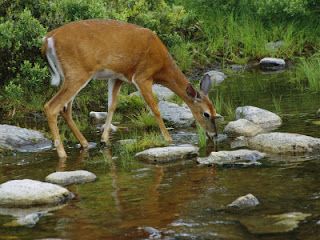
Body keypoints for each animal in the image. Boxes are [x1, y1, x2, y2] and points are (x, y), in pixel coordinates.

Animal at [42, 19, 218, 158]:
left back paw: (85, 143)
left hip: (71, 75)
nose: (214, 135)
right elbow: (155, 108)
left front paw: (104, 139)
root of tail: (48, 39)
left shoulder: (117, 77)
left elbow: (112, 105)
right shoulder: (142, 76)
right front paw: (169, 139)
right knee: (51, 106)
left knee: (65, 109)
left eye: (216, 112)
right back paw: (62, 153)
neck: (161, 67)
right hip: (77, 73)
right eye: (206, 114)